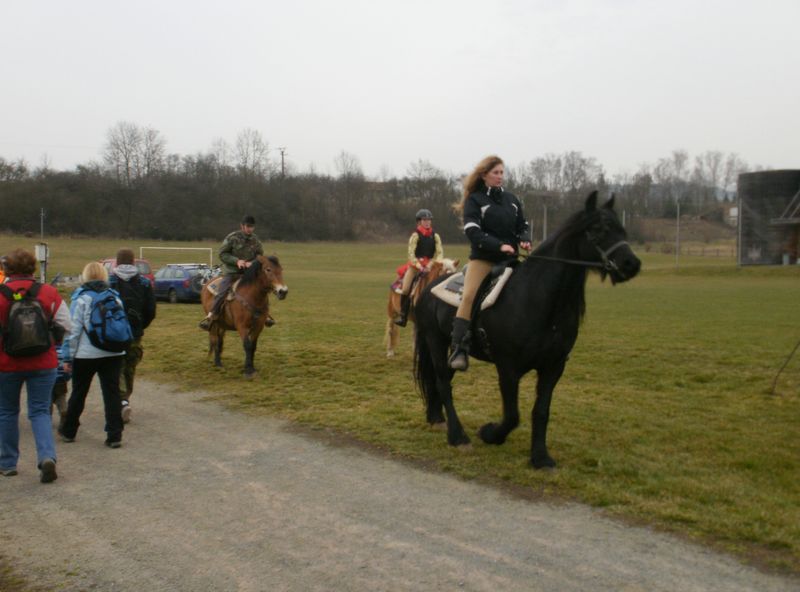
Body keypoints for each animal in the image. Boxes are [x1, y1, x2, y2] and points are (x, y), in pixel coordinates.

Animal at [413, 191, 641, 468]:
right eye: (598, 229)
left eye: (621, 229)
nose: (631, 263)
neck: (538, 300)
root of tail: (427, 289)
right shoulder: (508, 368)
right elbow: (512, 415)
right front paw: (490, 433)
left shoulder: (553, 367)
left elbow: (541, 411)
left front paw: (540, 457)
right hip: (435, 341)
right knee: (444, 383)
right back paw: (458, 437)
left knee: (441, 379)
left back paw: (436, 417)